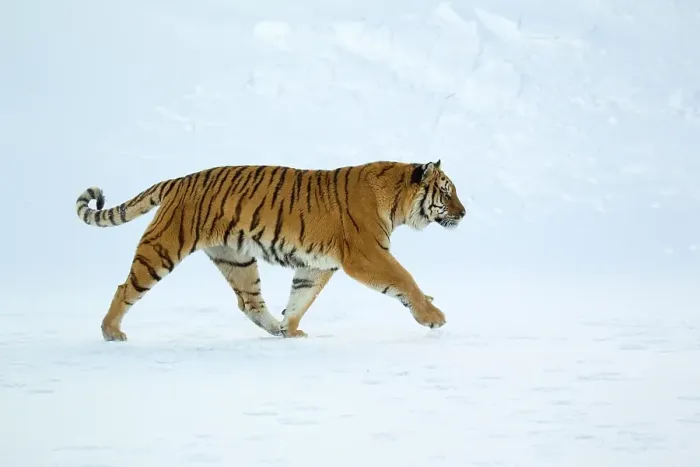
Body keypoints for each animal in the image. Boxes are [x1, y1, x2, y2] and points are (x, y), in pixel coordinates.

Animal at [75, 159, 467, 341]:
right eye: (446, 192)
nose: (464, 213)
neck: (396, 201)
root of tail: (177, 180)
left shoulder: (317, 265)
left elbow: (301, 297)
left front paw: (291, 329)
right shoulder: (366, 254)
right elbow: (405, 279)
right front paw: (434, 316)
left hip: (236, 259)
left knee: (249, 302)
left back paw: (276, 328)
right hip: (162, 248)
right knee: (126, 288)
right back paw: (111, 332)